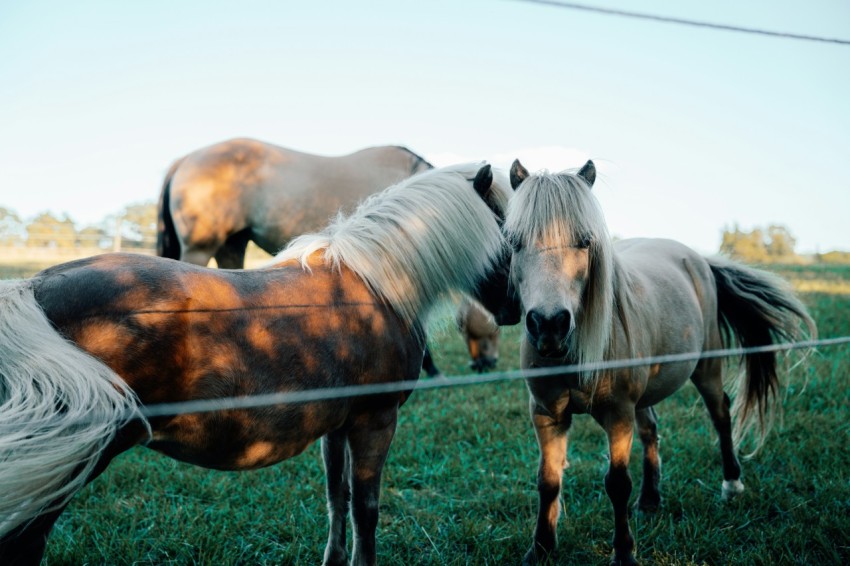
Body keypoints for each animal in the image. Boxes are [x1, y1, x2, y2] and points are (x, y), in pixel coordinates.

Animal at [0, 162, 516, 564]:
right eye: (511, 236)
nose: (517, 313)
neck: (374, 285)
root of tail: (34, 290)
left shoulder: (339, 425)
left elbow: (337, 499)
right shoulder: (375, 421)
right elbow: (365, 512)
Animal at [496, 158, 816, 564]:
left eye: (585, 241)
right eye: (515, 242)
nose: (549, 325)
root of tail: (697, 259)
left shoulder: (618, 415)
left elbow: (617, 483)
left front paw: (624, 553)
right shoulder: (547, 415)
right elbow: (548, 480)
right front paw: (540, 548)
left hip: (706, 369)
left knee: (721, 415)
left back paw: (731, 484)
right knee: (651, 429)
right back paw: (650, 500)